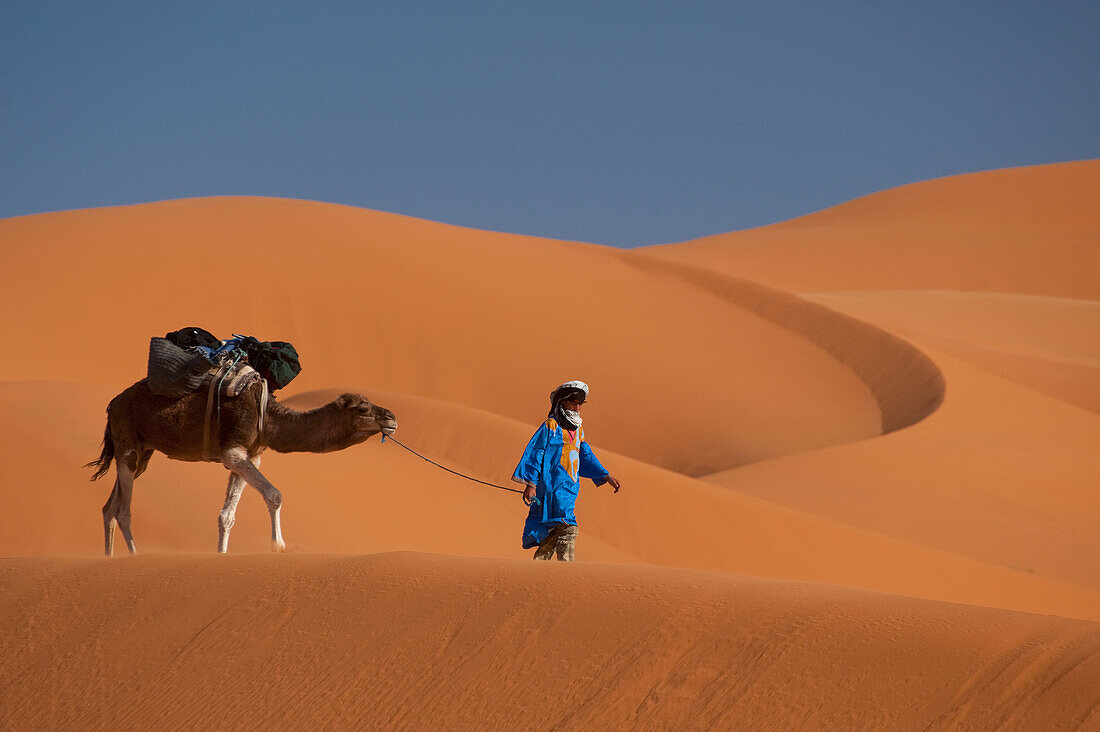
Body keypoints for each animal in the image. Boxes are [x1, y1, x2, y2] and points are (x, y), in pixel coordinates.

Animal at [86, 376, 396, 554]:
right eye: (363, 409)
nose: (391, 417)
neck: (268, 419)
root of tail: (112, 403)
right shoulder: (232, 451)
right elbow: (274, 494)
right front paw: (278, 546)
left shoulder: (251, 453)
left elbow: (227, 515)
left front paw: (222, 555)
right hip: (127, 442)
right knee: (123, 509)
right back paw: (135, 557)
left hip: (143, 451)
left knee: (109, 507)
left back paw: (110, 560)